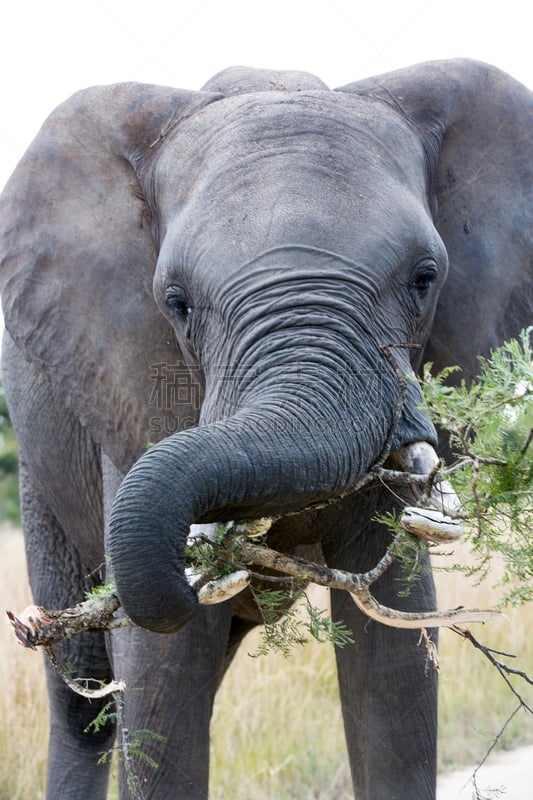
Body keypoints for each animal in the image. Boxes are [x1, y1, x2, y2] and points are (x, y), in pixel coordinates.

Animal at [1, 57, 532, 800]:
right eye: (176, 303)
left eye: (425, 278)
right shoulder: (128, 376)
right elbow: (162, 676)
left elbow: (394, 659)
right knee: (84, 694)